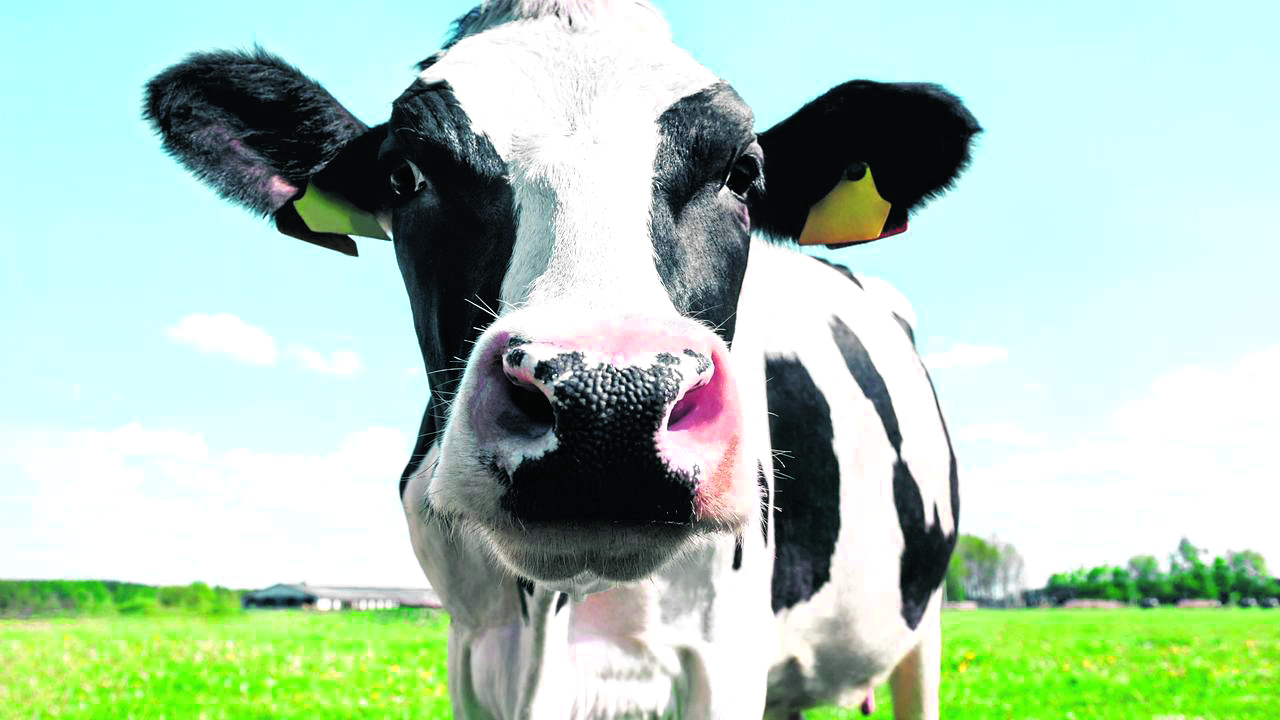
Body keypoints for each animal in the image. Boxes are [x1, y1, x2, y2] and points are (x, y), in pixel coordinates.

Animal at [144, 2, 978, 717]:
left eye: (742, 173)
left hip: (923, 624)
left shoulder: (723, 655)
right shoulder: (472, 652)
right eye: (405, 175)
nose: (611, 402)